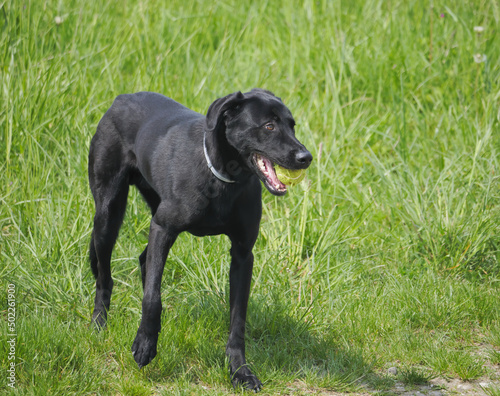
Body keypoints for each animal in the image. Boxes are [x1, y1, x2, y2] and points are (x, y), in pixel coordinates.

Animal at [88, 89, 310, 390]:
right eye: (268, 126)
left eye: (292, 125)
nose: (306, 157)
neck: (223, 177)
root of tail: (122, 98)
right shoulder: (163, 228)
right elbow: (152, 297)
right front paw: (145, 344)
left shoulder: (243, 254)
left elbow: (238, 318)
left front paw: (240, 371)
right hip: (107, 214)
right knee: (105, 277)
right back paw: (99, 324)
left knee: (145, 260)